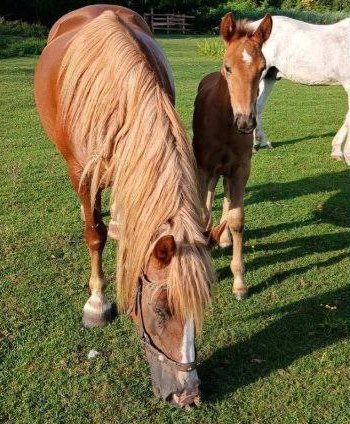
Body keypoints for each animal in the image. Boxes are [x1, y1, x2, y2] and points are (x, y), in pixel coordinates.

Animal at [193, 12, 272, 298]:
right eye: (228, 67)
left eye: (262, 69)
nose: (246, 122)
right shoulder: (203, 167)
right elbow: (202, 212)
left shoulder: (240, 168)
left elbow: (237, 218)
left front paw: (239, 283)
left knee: (226, 198)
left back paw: (224, 239)